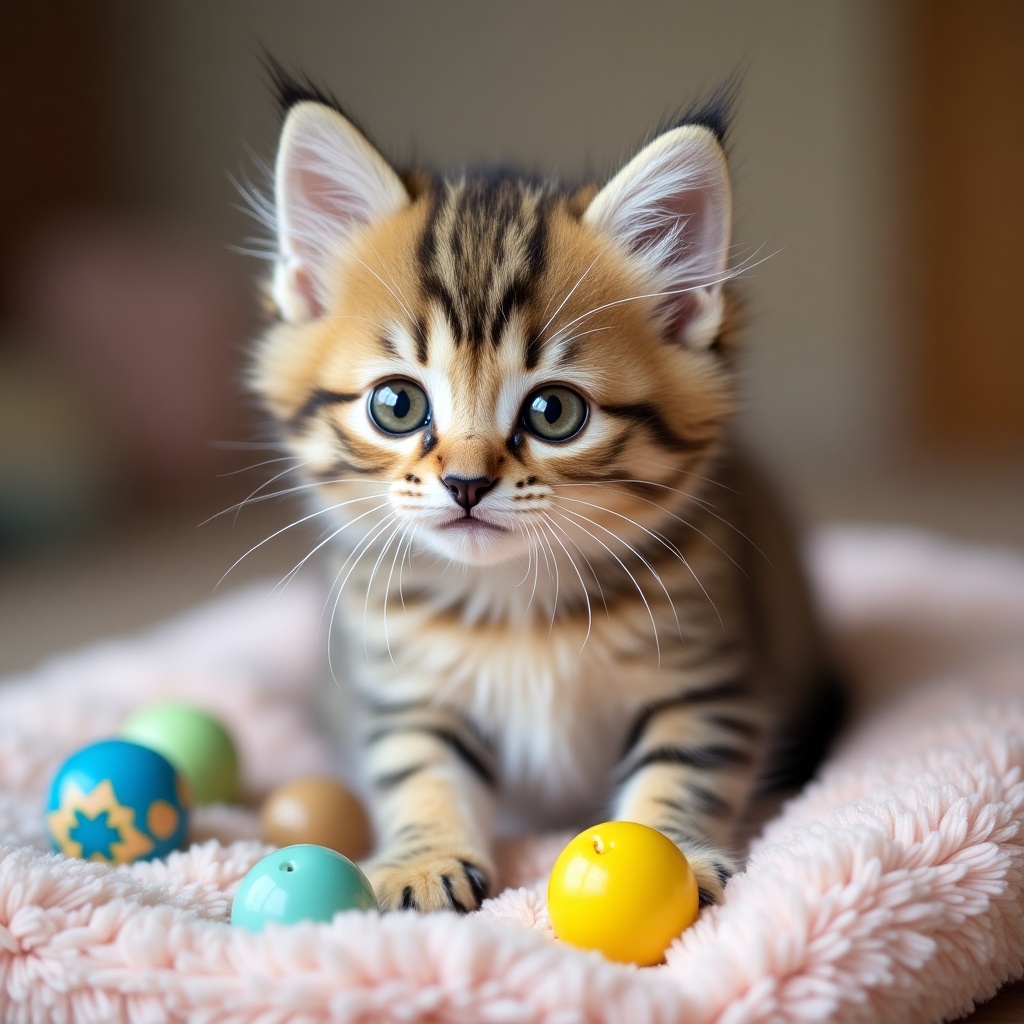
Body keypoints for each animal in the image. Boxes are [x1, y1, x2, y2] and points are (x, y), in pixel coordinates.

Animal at [249, 79, 839, 913]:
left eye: (554, 412)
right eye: (396, 405)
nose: (465, 483)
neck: (515, 609)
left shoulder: (709, 680)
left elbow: (684, 768)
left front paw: (672, 856)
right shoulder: (405, 690)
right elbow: (417, 768)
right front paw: (424, 859)